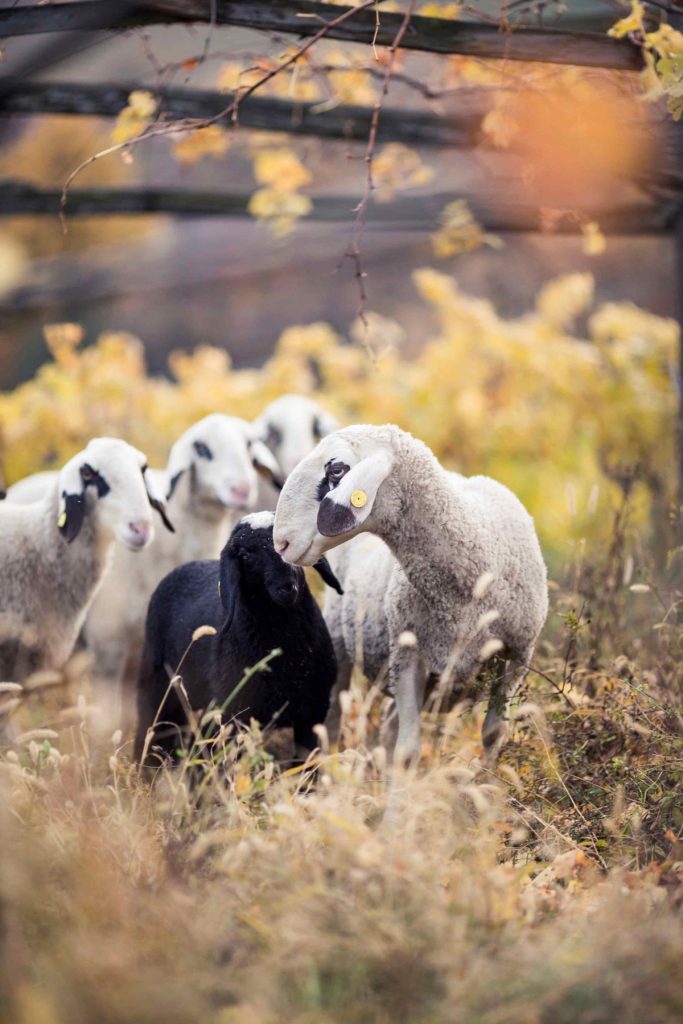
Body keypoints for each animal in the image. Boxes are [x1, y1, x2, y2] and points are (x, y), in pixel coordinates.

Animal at [134, 510, 343, 768]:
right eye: (245, 555)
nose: (288, 587)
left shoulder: (312, 712)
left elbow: (307, 766)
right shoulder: (236, 717)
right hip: (157, 689)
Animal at [273, 424, 548, 768]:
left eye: (336, 470)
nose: (280, 543)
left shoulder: (517, 655)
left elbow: (493, 733)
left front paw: (489, 779)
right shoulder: (407, 655)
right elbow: (408, 751)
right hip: (338, 639)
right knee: (332, 721)